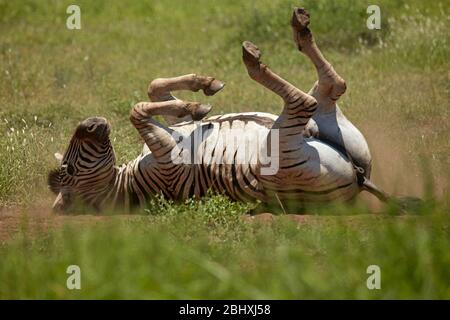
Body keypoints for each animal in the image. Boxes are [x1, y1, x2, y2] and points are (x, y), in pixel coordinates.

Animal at [48, 7, 390, 212]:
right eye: (69, 169)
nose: (91, 122)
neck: (128, 182)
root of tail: (360, 179)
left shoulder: (170, 130)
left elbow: (154, 87)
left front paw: (200, 93)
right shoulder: (169, 160)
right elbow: (136, 108)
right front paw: (198, 99)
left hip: (337, 129)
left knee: (332, 87)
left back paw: (299, 27)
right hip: (281, 152)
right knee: (306, 100)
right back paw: (255, 59)